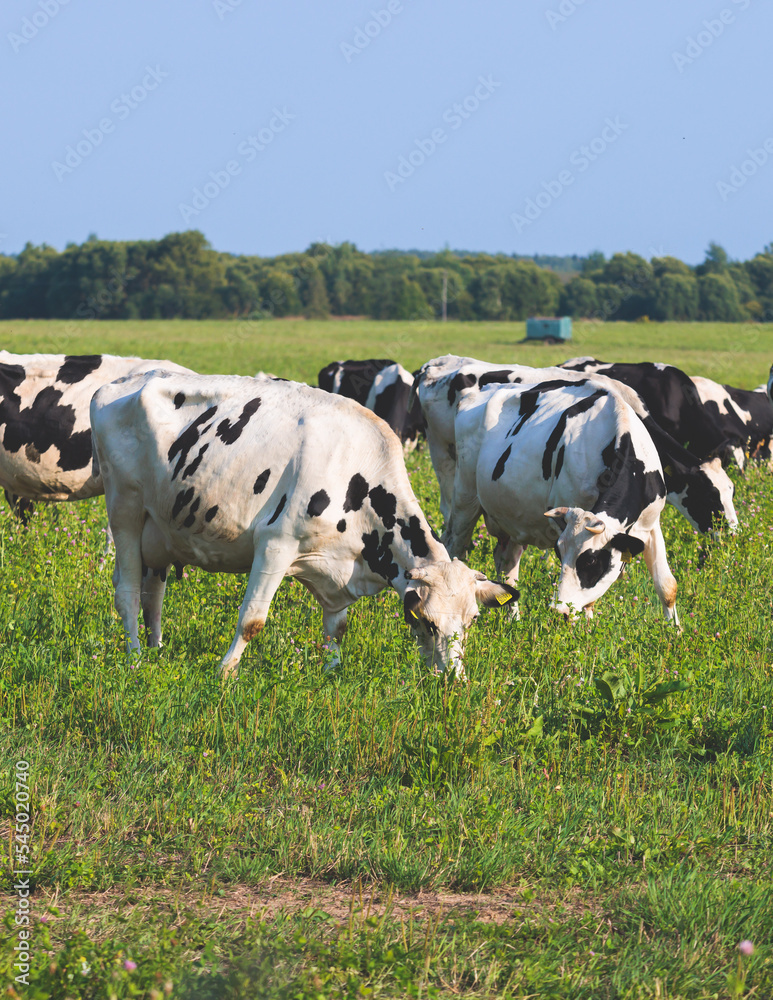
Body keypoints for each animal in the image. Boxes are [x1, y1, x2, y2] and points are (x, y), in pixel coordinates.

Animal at [89, 370, 512, 680]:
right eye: (426, 620)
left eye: (472, 620)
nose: (452, 677)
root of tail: (121, 382)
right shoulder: (276, 543)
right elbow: (252, 620)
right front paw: (225, 673)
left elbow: (336, 627)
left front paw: (332, 671)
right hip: (125, 509)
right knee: (127, 592)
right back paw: (135, 657)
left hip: (160, 530)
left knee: (152, 596)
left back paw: (157, 650)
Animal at [414, 356, 740, 536]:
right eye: (709, 495)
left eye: (730, 490)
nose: (733, 534)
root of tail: (435, 366)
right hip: (443, 455)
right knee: (449, 508)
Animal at [444, 376, 680, 620]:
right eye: (558, 552)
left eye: (591, 560)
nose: (559, 610)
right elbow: (589, 603)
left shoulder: (650, 523)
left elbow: (667, 585)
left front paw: (673, 628)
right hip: (465, 497)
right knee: (453, 546)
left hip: (512, 517)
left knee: (508, 566)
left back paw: (513, 619)